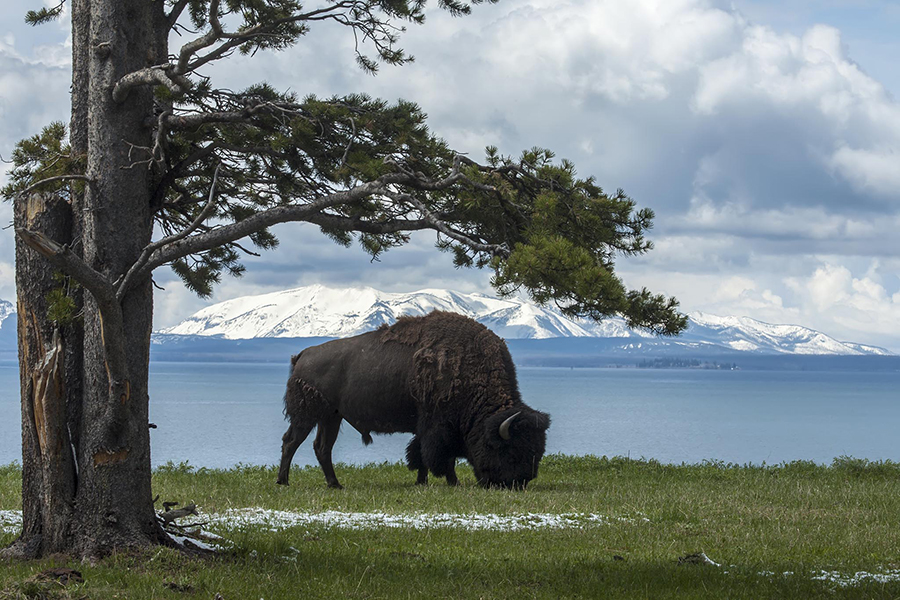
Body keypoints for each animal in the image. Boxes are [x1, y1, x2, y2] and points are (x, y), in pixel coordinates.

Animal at [278, 312, 552, 490]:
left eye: (537, 452)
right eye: (510, 451)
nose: (518, 482)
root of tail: (303, 355)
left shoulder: (426, 428)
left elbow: (420, 454)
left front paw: (422, 481)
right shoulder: (438, 427)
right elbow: (440, 456)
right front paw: (452, 482)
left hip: (331, 417)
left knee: (322, 448)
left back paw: (335, 484)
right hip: (307, 416)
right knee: (292, 442)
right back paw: (284, 481)